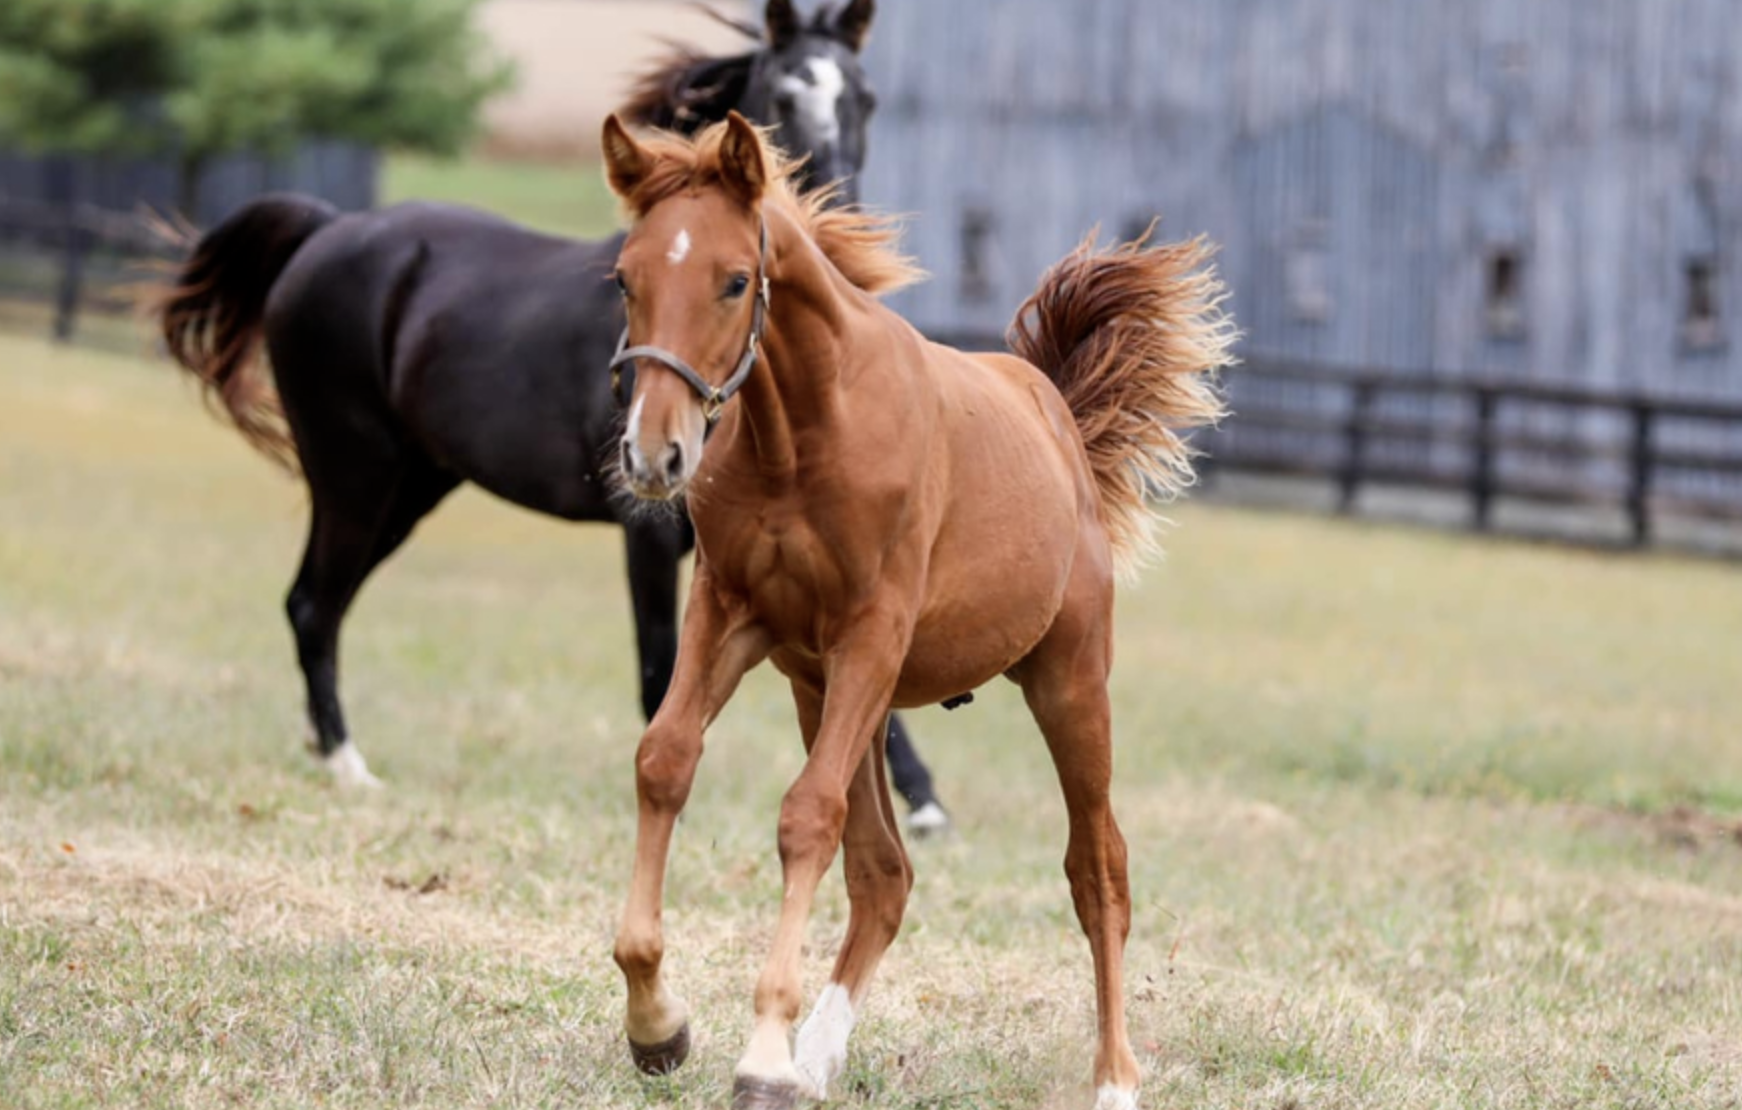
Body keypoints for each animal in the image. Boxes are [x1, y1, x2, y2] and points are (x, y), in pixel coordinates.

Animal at [149, 0, 954, 822]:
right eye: (787, 95)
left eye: (866, 99)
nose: (839, 213)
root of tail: (324, 229)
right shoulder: (647, 528)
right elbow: (662, 673)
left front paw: (925, 803)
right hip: (354, 476)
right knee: (313, 604)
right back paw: (347, 764)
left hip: (409, 488)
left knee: (317, 601)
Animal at [599, 115, 1240, 1108]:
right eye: (626, 278)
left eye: (734, 280)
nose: (655, 454)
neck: (803, 437)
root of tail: (1055, 413)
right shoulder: (732, 612)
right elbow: (665, 761)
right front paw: (658, 1025)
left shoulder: (872, 628)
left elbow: (806, 815)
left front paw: (761, 1055)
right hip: (825, 689)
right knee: (885, 873)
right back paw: (818, 1059)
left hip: (1065, 683)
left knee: (1098, 869)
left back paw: (1113, 1078)